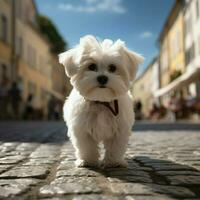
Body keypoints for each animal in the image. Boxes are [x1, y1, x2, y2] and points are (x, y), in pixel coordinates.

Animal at [58, 35, 143, 167]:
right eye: (91, 66)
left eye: (112, 68)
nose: (102, 78)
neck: (102, 102)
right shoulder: (82, 129)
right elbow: (86, 146)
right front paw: (87, 160)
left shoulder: (120, 129)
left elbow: (115, 147)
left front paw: (113, 162)